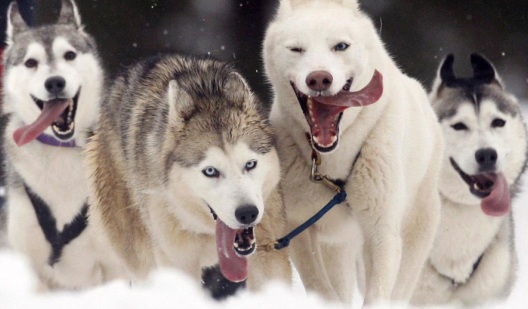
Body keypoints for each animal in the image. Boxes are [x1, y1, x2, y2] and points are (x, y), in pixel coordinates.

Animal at [2, 0, 124, 288]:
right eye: (31, 62)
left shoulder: (113, 265)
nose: (55, 82)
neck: (62, 148)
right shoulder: (29, 260)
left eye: (69, 55)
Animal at [262, 0, 444, 304]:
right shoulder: (299, 227)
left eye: (340, 46)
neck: (334, 163)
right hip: (337, 244)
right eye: (297, 49)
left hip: (415, 235)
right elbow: (321, 287)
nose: (319, 78)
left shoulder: (381, 232)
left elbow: (378, 293)